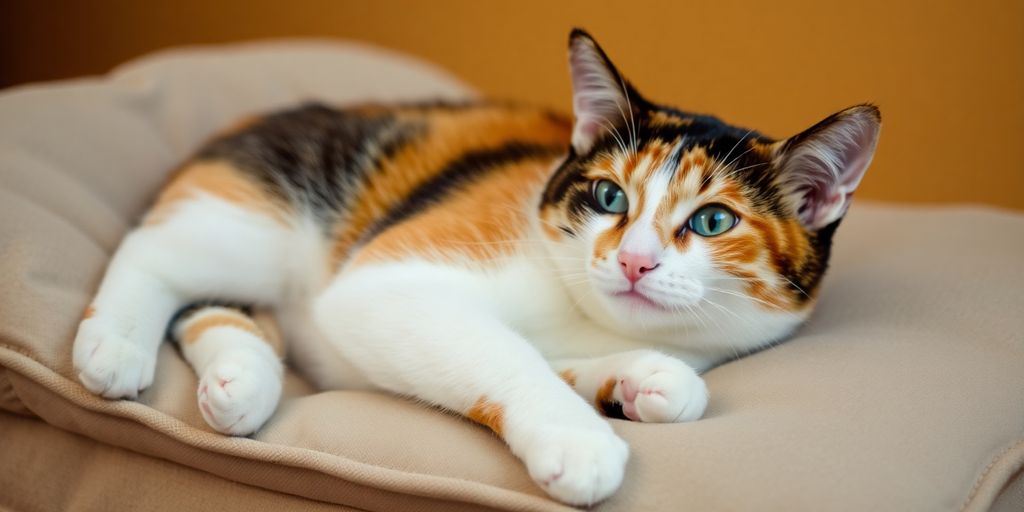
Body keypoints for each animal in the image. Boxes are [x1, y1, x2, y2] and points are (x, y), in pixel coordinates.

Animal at [74, 29, 880, 505]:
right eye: (609, 196)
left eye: (713, 221)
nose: (632, 260)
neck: (585, 313)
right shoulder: (388, 280)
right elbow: (502, 351)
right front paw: (578, 438)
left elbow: (637, 373)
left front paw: (643, 381)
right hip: (259, 215)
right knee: (155, 255)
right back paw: (117, 344)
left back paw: (240, 381)